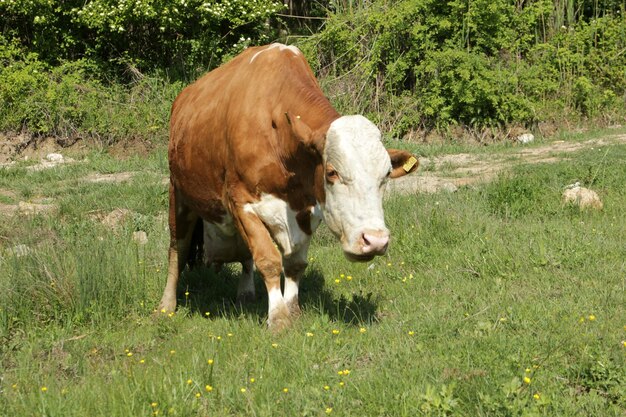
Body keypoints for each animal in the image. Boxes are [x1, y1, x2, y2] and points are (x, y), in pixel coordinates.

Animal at [158, 44, 416, 330]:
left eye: (385, 175)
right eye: (332, 172)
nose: (375, 241)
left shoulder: (307, 209)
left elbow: (295, 263)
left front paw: (293, 311)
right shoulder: (239, 200)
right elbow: (268, 258)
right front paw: (278, 318)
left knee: (244, 255)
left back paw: (246, 293)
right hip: (178, 194)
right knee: (177, 249)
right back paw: (166, 305)